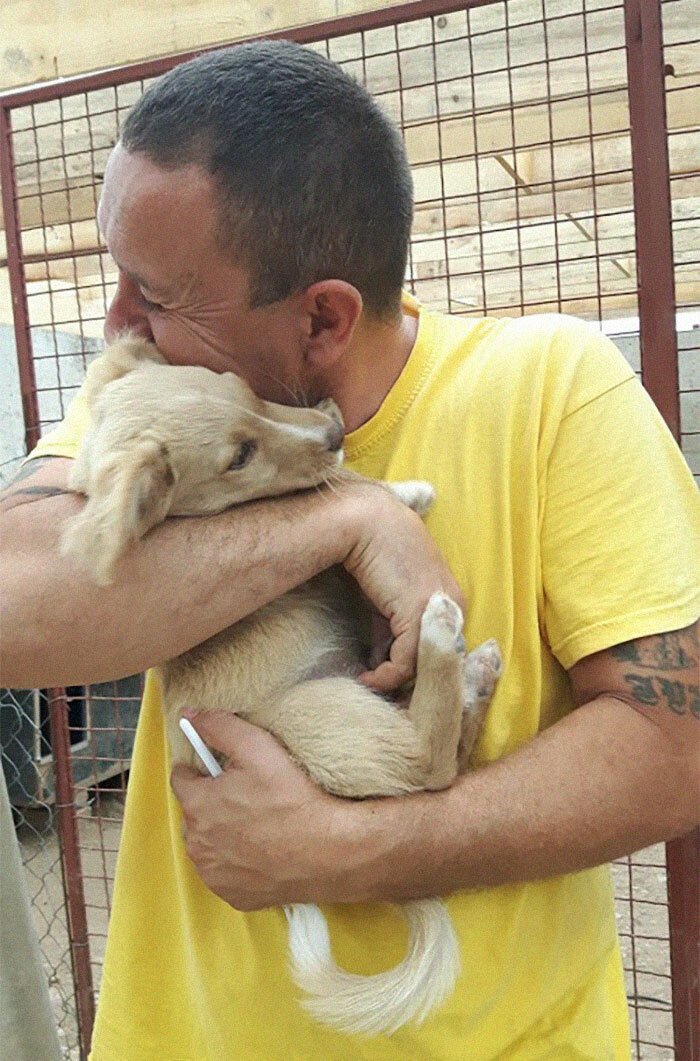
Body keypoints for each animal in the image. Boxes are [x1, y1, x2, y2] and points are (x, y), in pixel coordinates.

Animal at [57, 337, 500, 1035]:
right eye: (239, 456)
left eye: (241, 384)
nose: (335, 431)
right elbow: (327, 494)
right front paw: (403, 494)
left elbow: (335, 488)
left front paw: (395, 488)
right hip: (316, 712)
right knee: (430, 764)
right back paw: (440, 636)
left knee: (452, 743)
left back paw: (475, 671)